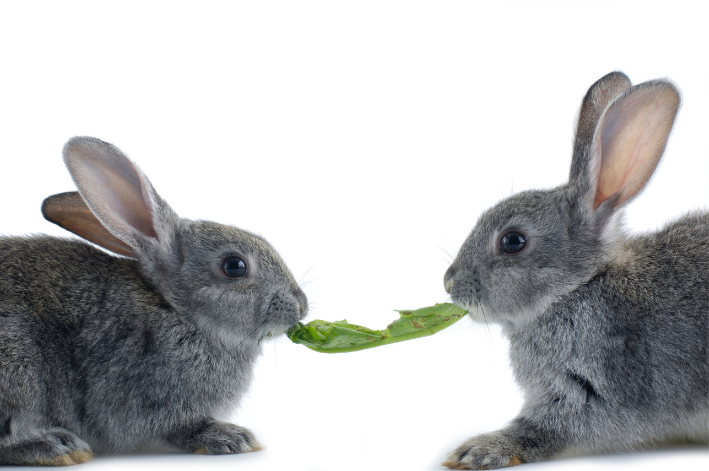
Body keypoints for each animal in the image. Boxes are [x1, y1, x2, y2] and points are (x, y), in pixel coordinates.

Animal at [0, 138, 306, 466]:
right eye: (234, 266)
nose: (300, 306)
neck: (174, 308)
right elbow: (178, 428)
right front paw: (230, 437)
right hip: (20, 363)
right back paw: (54, 446)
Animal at [442, 72, 708, 470]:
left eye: (513, 241)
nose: (449, 282)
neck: (576, 288)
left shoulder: (590, 391)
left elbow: (544, 431)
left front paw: (479, 449)